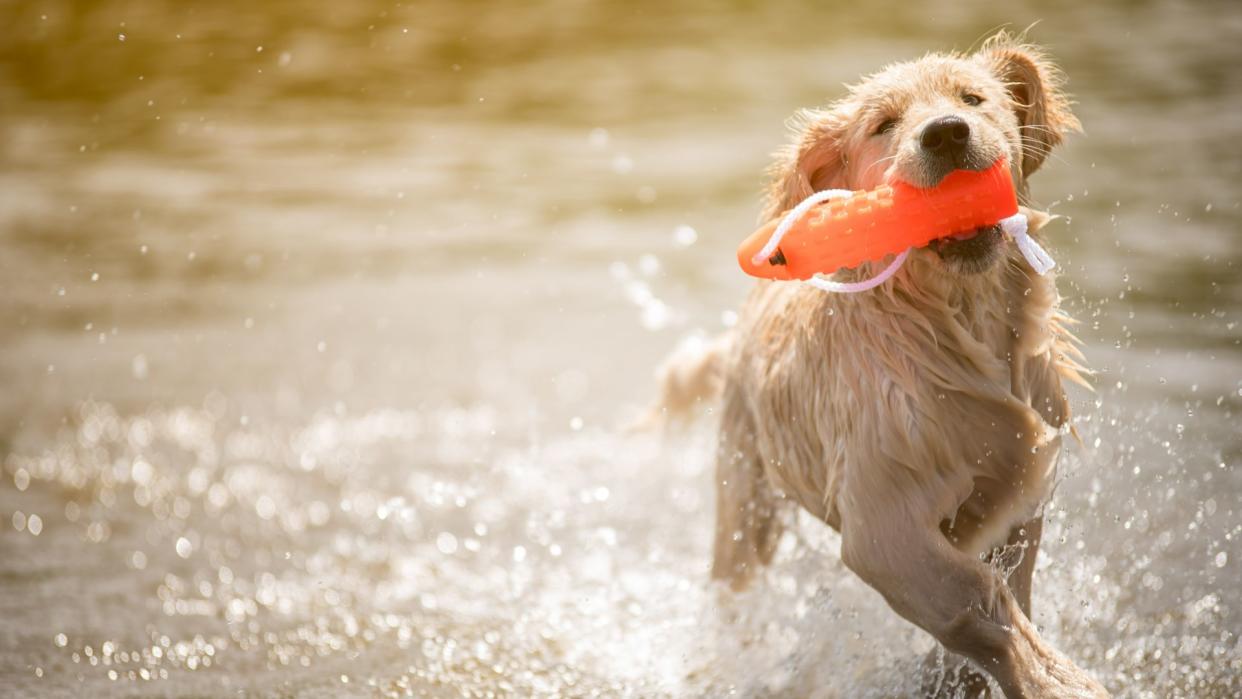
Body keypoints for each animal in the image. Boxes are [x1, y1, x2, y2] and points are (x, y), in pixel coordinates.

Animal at [655, 31, 1112, 699]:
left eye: (972, 99)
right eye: (884, 125)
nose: (946, 134)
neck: (954, 325)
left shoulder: (1023, 487)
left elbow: (1008, 582)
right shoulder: (882, 521)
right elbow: (975, 598)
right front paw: (1055, 678)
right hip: (746, 488)